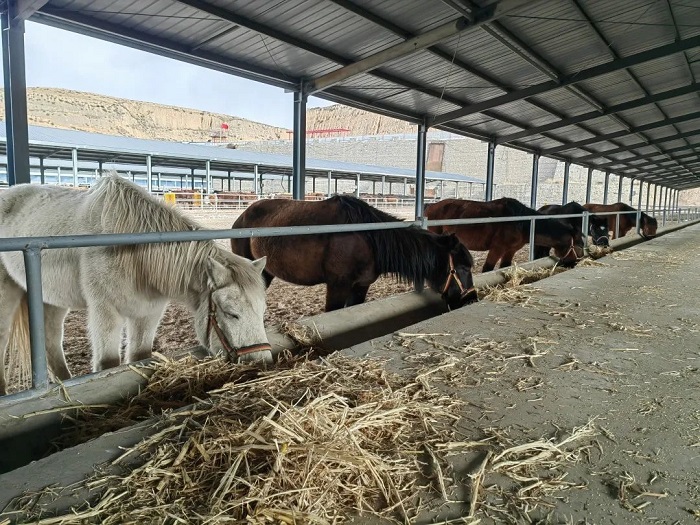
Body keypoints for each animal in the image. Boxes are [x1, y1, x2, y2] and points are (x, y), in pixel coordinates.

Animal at [0, 174, 272, 396]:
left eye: (262, 311)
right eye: (231, 313)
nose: (262, 362)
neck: (133, 251)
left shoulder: (147, 313)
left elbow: (140, 357)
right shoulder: (105, 312)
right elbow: (108, 366)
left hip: (51, 299)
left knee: (51, 341)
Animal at [231, 195, 478, 312]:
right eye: (463, 268)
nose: (472, 299)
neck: (368, 238)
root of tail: (242, 217)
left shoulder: (361, 286)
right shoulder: (337, 286)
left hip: (266, 272)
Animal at [424, 197, 580, 273]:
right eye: (578, 244)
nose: (574, 264)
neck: (521, 222)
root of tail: (430, 207)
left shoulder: (511, 250)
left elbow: (505, 266)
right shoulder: (497, 249)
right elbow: (487, 269)